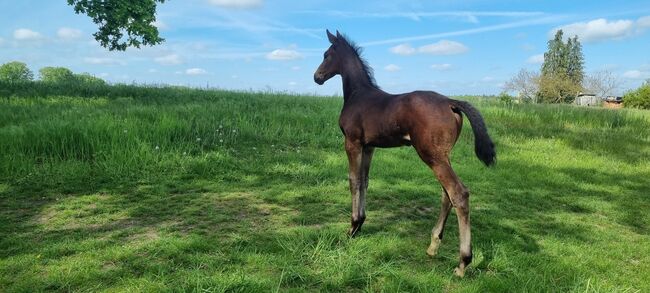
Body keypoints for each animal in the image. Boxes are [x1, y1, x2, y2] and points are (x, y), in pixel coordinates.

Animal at [312, 30, 494, 276]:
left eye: (326, 55)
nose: (317, 77)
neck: (358, 94)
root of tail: (450, 102)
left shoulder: (352, 143)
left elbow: (353, 181)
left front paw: (352, 227)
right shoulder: (369, 146)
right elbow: (365, 180)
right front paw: (360, 223)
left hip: (431, 156)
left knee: (458, 193)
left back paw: (463, 262)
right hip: (442, 155)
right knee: (446, 194)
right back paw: (433, 245)